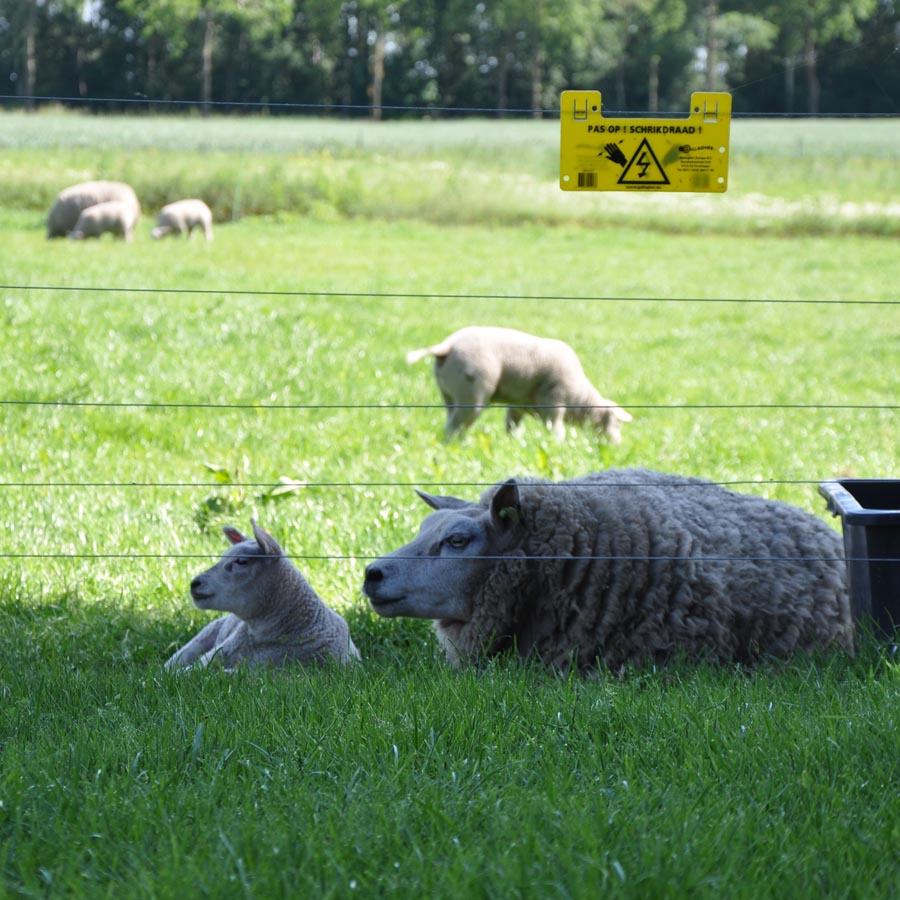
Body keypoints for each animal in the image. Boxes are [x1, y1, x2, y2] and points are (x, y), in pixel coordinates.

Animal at [408, 326, 632, 446]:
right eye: (616, 424)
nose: (617, 445)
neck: (581, 399)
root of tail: (447, 346)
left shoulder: (518, 404)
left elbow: (512, 425)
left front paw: (512, 443)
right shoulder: (555, 401)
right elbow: (555, 427)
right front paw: (558, 445)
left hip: (449, 394)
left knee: (451, 420)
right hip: (472, 394)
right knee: (456, 424)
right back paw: (457, 445)